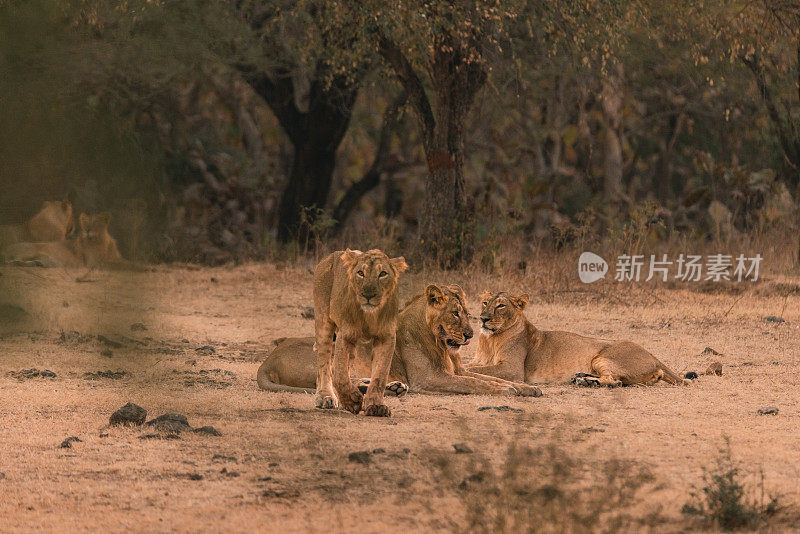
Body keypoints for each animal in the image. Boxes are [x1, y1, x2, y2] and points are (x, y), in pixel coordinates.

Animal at [258, 284, 544, 398]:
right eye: (455, 312)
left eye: (467, 311)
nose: (471, 334)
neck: (439, 344)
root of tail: (267, 360)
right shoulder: (430, 379)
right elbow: (476, 383)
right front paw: (508, 391)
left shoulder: (458, 370)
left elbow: (490, 377)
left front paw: (525, 388)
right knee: (338, 383)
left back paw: (393, 387)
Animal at [472, 292, 684, 388]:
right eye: (485, 302)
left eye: (500, 306)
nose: (483, 318)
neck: (489, 341)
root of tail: (652, 355)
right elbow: (474, 365)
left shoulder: (513, 369)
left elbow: (479, 370)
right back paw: (580, 376)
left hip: (601, 357)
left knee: (615, 381)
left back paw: (587, 381)